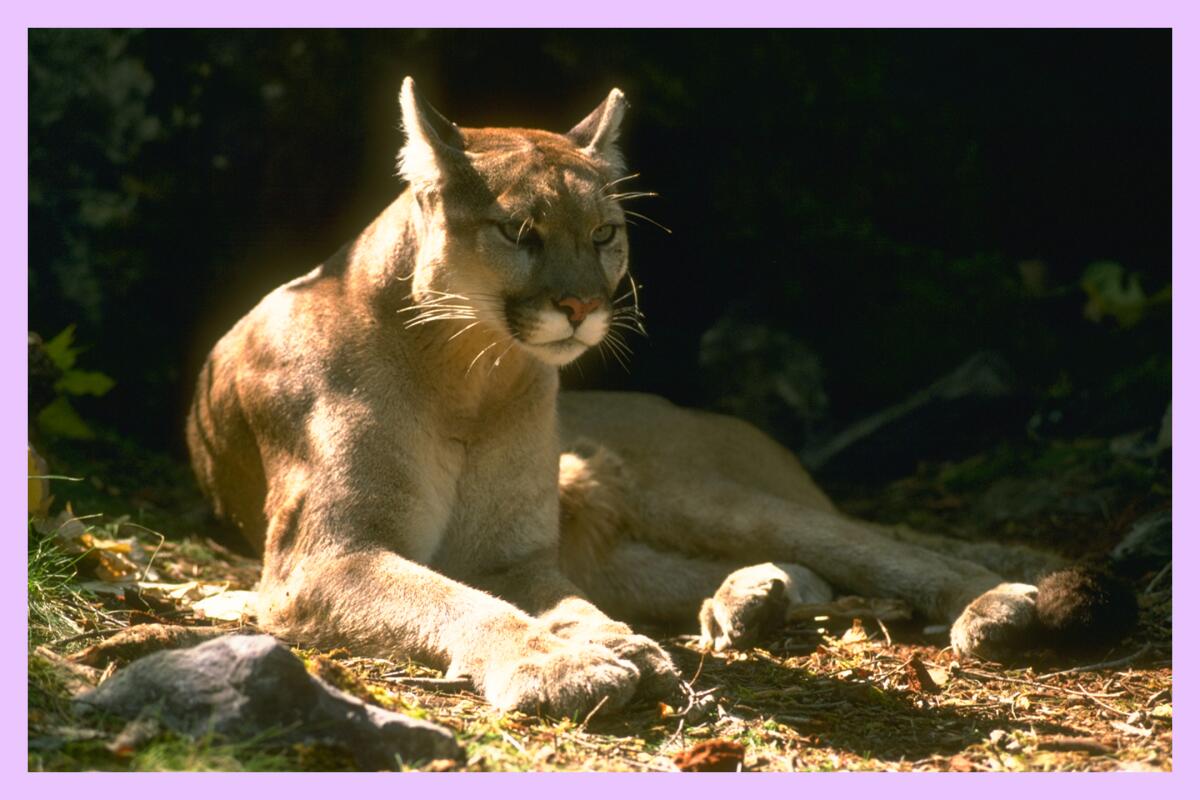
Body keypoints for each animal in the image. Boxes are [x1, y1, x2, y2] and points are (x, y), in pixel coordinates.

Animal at [187, 79, 1123, 719]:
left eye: (604, 233)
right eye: (520, 232)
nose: (578, 306)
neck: (469, 373)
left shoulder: (507, 553)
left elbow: (526, 598)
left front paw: (593, 647)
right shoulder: (326, 557)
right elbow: (459, 601)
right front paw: (573, 660)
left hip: (678, 486)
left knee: (877, 547)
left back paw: (992, 605)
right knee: (780, 573)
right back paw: (749, 605)